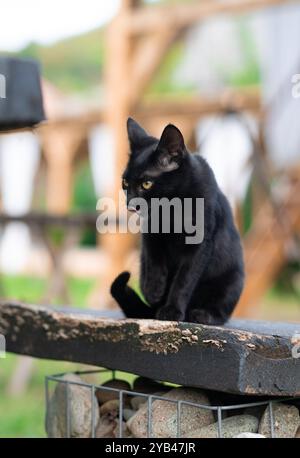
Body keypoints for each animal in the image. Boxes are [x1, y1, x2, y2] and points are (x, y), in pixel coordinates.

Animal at [110, 118, 244, 326]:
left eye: (146, 184)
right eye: (125, 183)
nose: (130, 205)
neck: (172, 208)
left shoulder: (200, 245)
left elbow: (184, 280)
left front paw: (172, 310)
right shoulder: (151, 233)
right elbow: (155, 259)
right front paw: (154, 290)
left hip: (233, 281)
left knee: (221, 310)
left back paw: (202, 315)